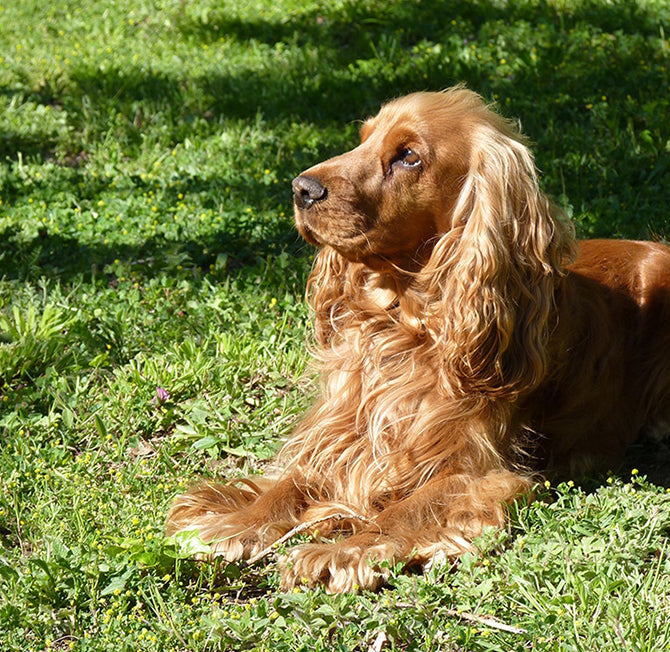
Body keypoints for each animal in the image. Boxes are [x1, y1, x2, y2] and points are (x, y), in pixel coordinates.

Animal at [167, 89, 670, 592]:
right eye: (363, 139)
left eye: (409, 156)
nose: (301, 189)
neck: (400, 326)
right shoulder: (342, 434)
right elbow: (292, 482)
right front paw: (235, 521)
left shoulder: (475, 470)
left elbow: (408, 508)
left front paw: (341, 551)